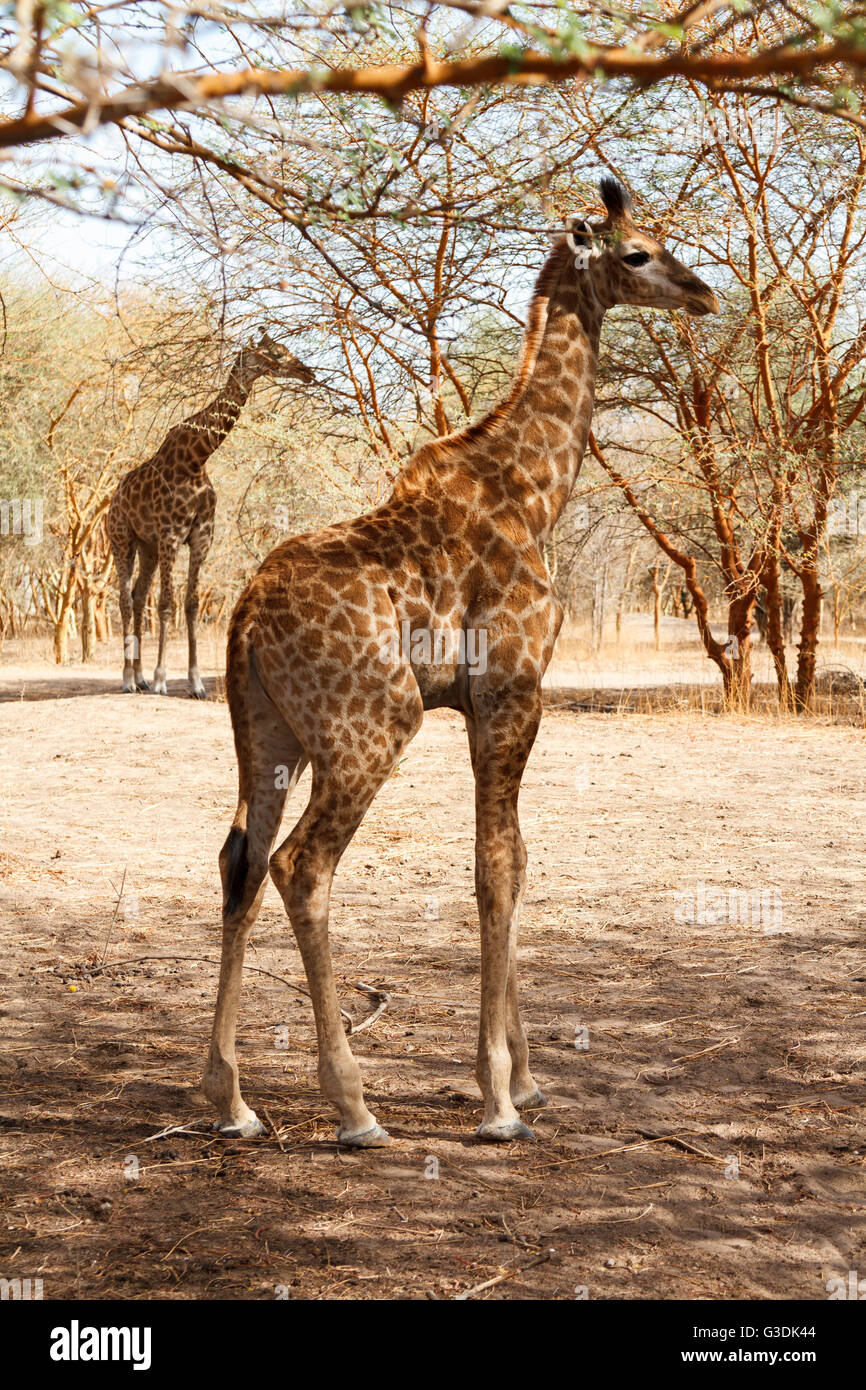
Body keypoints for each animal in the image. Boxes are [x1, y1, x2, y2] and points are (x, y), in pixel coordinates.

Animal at [107, 330, 314, 698]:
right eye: (276, 352)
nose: (308, 372)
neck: (196, 459)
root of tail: (112, 499)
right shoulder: (171, 535)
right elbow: (167, 604)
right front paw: (162, 679)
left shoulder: (201, 537)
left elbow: (189, 605)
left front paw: (196, 682)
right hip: (122, 539)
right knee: (126, 601)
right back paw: (129, 679)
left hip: (147, 547)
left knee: (138, 595)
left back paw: (140, 677)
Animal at [203, 178, 719, 1145]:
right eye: (637, 253)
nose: (704, 293)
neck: (536, 488)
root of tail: (245, 615)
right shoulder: (514, 691)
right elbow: (496, 868)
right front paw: (498, 1102)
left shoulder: (488, 703)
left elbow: (513, 855)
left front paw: (529, 1081)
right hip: (373, 723)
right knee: (302, 867)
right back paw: (354, 1106)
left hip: (267, 733)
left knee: (239, 860)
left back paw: (233, 1101)